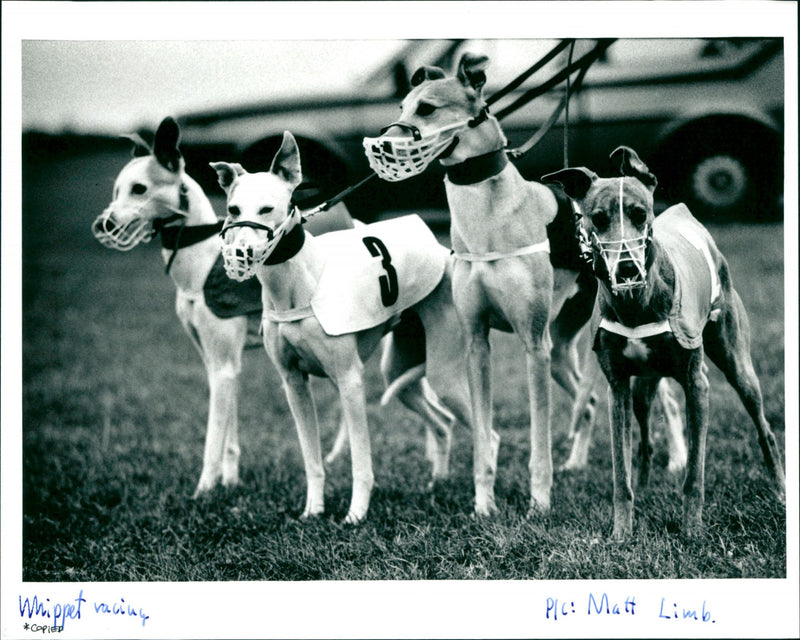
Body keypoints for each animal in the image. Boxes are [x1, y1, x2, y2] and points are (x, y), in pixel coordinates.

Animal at [214, 132, 476, 524]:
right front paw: (313, 510)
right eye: (233, 210)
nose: (241, 254)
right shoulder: (294, 384)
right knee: (443, 424)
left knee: (488, 433)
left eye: (267, 209)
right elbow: (312, 460)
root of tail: (442, 251)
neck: (295, 285)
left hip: (443, 376)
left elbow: (360, 462)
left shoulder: (349, 382)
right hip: (400, 374)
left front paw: (356, 513)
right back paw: (437, 483)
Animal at [366, 52, 684, 516]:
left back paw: (677, 458)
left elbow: (538, 440)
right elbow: (483, 437)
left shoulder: (533, 345)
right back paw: (576, 462)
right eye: (401, 108)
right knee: (588, 403)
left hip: (591, 342)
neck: (489, 216)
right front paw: (484, 504)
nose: (382, 145)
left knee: (668, 401)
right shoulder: (477, 343)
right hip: (563, 347)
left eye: (426, 109)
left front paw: (540, 501)